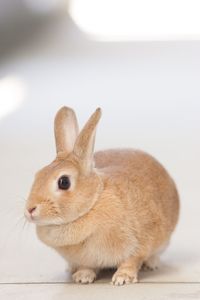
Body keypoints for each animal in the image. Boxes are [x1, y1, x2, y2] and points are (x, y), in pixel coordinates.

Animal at [24, 106, 180, 284]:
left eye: (64, 182)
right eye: (38, 175)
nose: (29, 209)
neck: (92, 204)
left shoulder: (140, 242)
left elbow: (132, 260)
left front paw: (122, 278)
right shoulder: (86, 259)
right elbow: (87, 266)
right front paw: (83, 277)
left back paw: (151, 264)